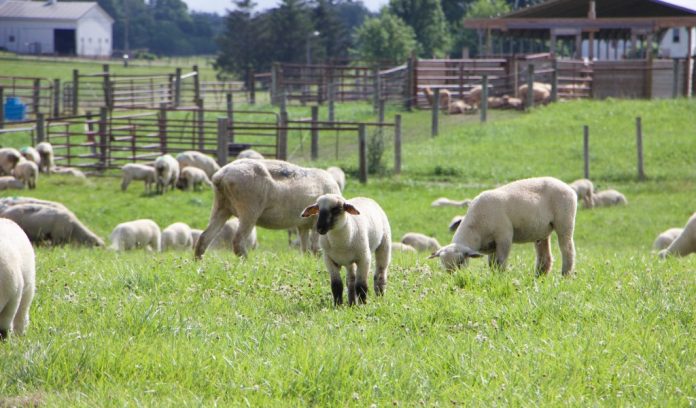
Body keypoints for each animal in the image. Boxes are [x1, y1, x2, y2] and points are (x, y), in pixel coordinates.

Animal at [194, 159, 340, 259]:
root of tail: (221, 175)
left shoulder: (303, 225)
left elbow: (306, 249)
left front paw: (306, 260)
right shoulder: (316, 222)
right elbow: (316, 248)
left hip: (221, 206)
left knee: (204, 237)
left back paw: (198, 263)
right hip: (249, 209)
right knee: (238, 241)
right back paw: (247, 263)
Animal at [429, 177, 577, 276]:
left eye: (460, 261)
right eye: (442, 263)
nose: (453, 277)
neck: (475, 226)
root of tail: (568, 188)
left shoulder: (504, 237)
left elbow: (500, 262)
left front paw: (500, 277)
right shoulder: (491, 245)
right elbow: (492, 264)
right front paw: (493, 277)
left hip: (565, 221)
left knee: (567, 249)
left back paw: (565, 275)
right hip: (542, 230)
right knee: (545, 256)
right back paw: (539, 276)